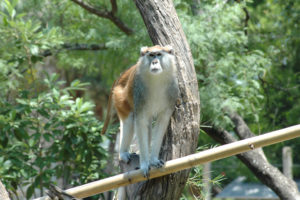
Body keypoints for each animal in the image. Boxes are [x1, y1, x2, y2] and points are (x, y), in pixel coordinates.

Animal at [102, 45, 179, 177]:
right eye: (151, 55)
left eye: (159, 54)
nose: (154, 62)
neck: (157, 79)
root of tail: (122, 76)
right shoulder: (139, 92)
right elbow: (140, 122)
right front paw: (144, 164)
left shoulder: (172, 91)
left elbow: (161, 122)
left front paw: (153, 160)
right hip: (119, 97)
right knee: (129, 121)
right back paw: (123, 153)